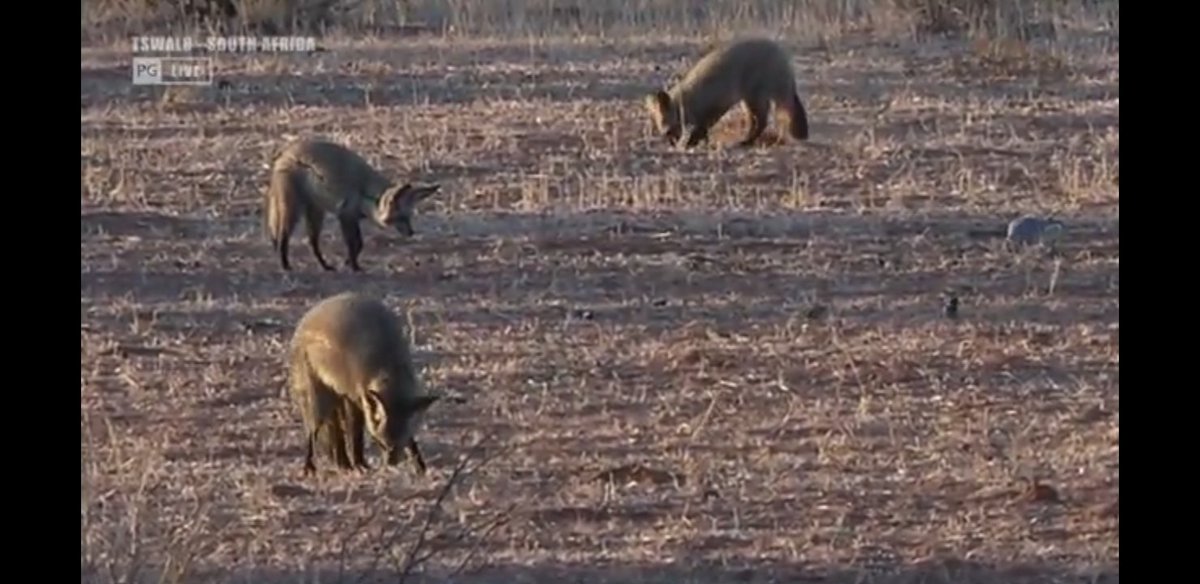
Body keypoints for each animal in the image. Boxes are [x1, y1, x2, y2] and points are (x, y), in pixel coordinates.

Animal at [263, 138, 441, 272]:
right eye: (400, 217)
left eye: (409, 217)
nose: (411, 233)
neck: (367, 195)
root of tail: (284, 153)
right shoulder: (345, 215)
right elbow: (354, 244)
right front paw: (354, 266)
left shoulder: (353, 217)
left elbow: (359, 244)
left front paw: (349, 262)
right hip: (294, 210)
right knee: (283, 237)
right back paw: (285, 265)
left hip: (316, 211)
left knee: (312, 242)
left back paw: (325, 266)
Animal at [287, 291, 443, 476]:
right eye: (381, 443)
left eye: (400, 443)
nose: (391, 463)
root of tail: (306, 319)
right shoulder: (354, 397)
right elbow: (356, 436)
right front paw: (360, 464)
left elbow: (413, 443)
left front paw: (420, 466)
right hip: (319, 402)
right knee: (313, 433)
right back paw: (310, 466)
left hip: (334, 401)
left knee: (336, 435)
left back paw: (343, 463)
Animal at [644, 37, 810, 149]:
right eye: (658, 124)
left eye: (665, 124)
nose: (670, 142)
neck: (691, 99)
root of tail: (782, 57)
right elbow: (703, 129)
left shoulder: (715, 106)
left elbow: (703, 127)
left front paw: (693, 142)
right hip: (748, 100)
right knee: (756, 121)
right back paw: (747, 140)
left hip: (756, 96)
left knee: (761, 121)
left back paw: (747, 141)